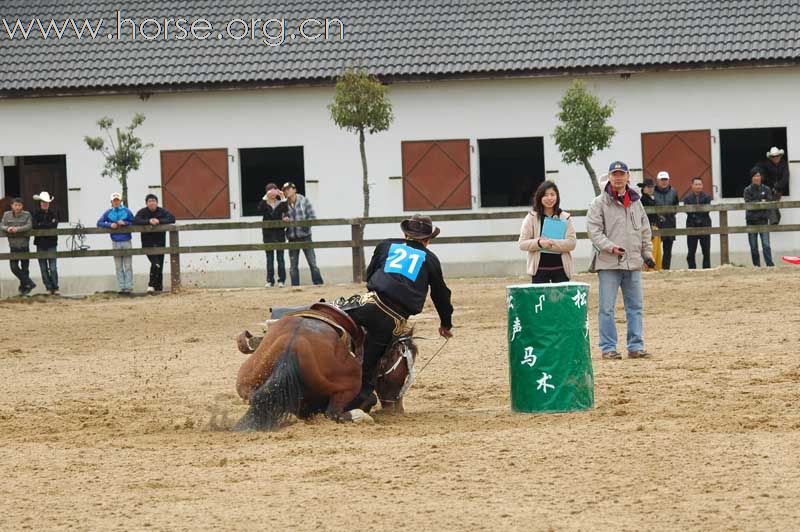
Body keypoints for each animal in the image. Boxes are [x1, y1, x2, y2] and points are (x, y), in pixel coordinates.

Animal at [233, 306, 416, 430]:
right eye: (403, 370)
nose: (397, 409)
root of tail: (294, 344)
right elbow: (370, 399)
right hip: (348, 387)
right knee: (333, 414)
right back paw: (360, 416)